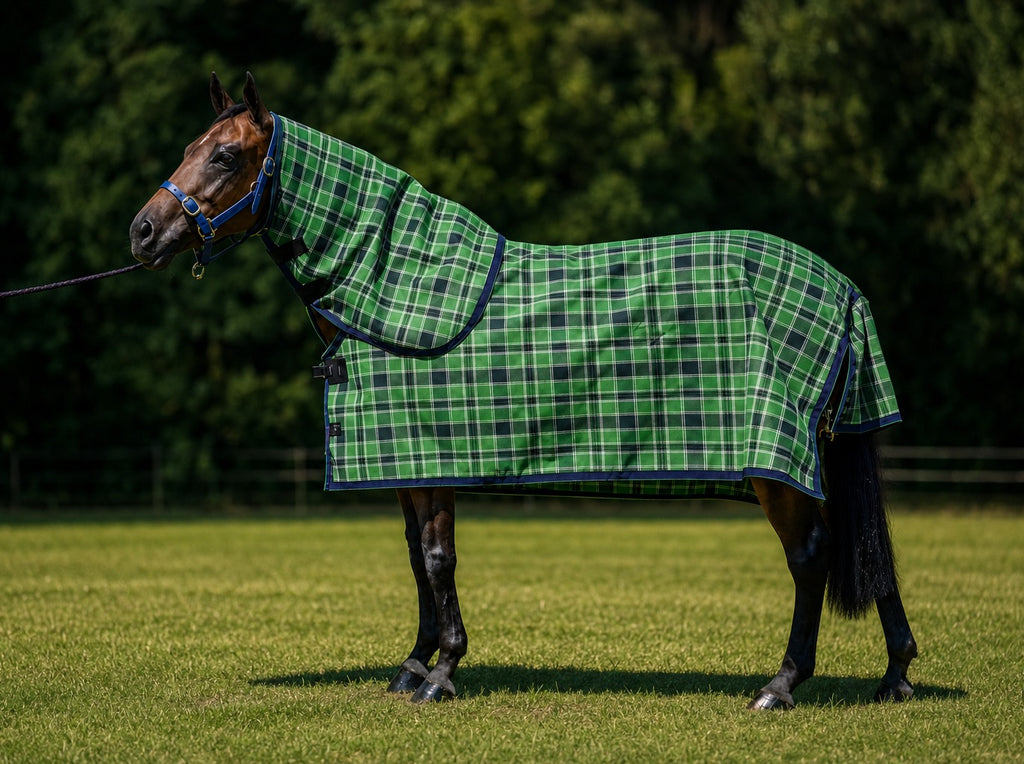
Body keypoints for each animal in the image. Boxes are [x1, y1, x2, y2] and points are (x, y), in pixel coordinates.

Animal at [129, 72, 917, 708]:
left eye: (225, 155)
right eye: (192, 146)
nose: (141, 233)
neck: (392, 283)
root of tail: (840, 287)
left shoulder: (431, 461)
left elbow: (439, 560)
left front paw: (443, 673)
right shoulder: (405, 464)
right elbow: (416, 559)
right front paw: (413, 666)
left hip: (776, 467)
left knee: (810, 556)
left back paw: (781, 685)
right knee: (865, 553)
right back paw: (896, 676)